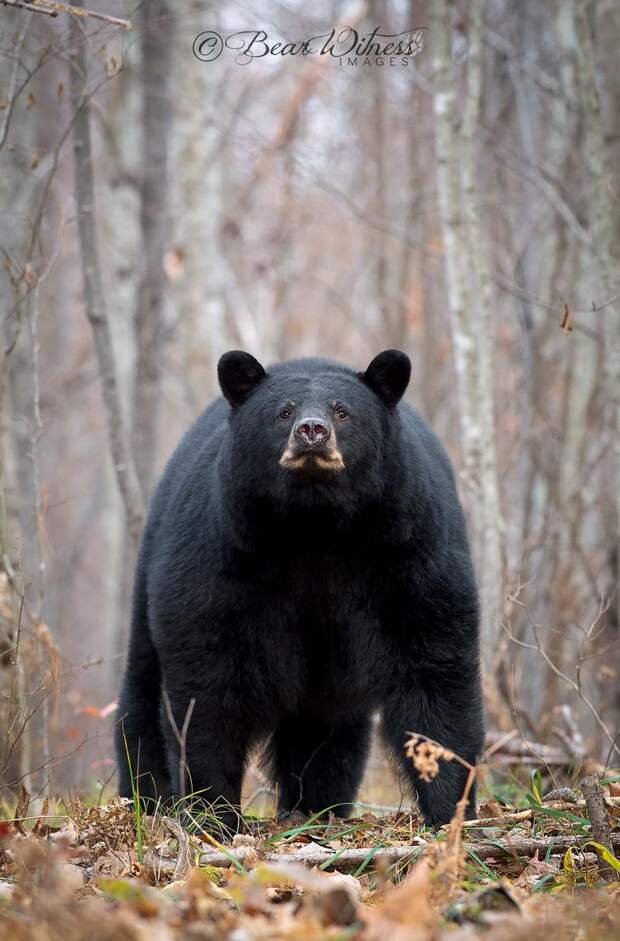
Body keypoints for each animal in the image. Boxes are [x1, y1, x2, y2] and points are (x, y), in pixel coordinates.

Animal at [116, 350, 484, 828]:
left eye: (342, 412)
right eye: (284, 411)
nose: (312, 431)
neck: (313, 526)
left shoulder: (407, 546)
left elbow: (434, 662)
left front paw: (452, 810)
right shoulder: (221, 554)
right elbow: (207, 680)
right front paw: (212, 812)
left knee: (326, 732)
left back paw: (317, 806)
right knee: (141, 690)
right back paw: (145, 799)